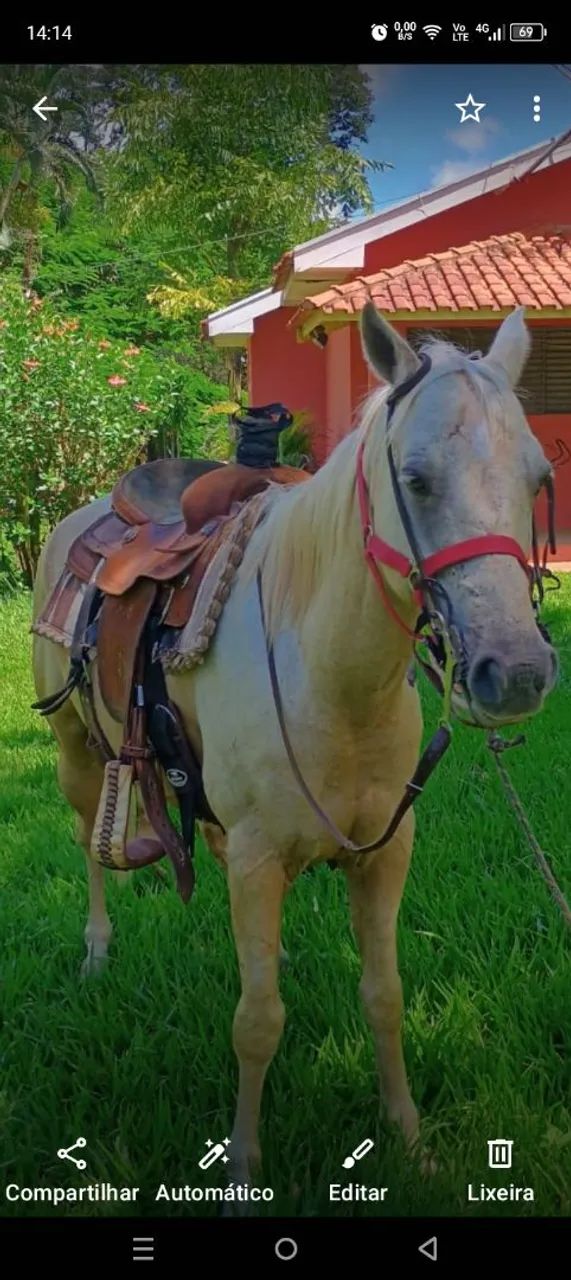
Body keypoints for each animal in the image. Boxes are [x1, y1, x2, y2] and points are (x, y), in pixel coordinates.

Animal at [32, 304, 558, 1187]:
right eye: (415, 479)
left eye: (536, 479)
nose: (513, 672)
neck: (329, 675)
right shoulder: (256, 860)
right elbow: (257, 1020)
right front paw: (242, 1167)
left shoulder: (385, 852)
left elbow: (383, 995)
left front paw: (407, 1136)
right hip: (77, 751)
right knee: (87, 844)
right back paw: (96, 953)